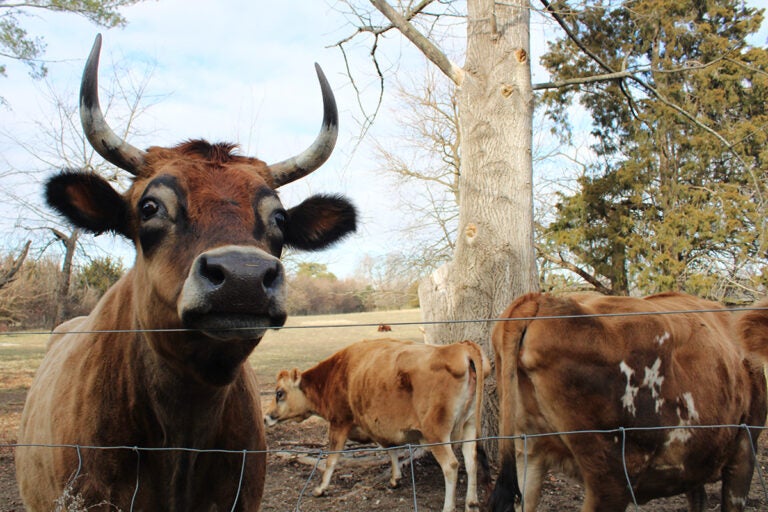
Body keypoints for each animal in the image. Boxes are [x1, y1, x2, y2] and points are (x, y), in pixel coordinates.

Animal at [264, 338, 492, 510]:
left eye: (279, 393)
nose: (265, 417)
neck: (337, 371)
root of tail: (459, 348)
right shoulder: (380, 425)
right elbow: (391, 449)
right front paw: (395, 478)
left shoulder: (339, 421)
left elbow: (332, 458)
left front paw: (321, 488)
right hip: (469, 425)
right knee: (471, 460)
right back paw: (471, 503)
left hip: (436, 433)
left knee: (451, 466)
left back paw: (449, 507)